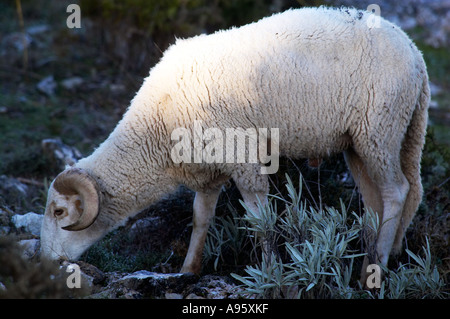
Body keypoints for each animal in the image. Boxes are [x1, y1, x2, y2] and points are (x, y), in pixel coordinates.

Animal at [41, 6, 428, 282]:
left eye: (59, 212)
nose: (43, 263)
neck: (157, 125)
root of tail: (414, 52)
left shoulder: (244, 157)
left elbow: (261, 221)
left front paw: (272, 274)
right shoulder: (209, 168)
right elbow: (201, 218)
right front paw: (188, 269)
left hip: (380, 129)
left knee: (397, 190)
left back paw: (375, 272)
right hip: (360, 142)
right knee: (378, 200)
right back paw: (370, 264)